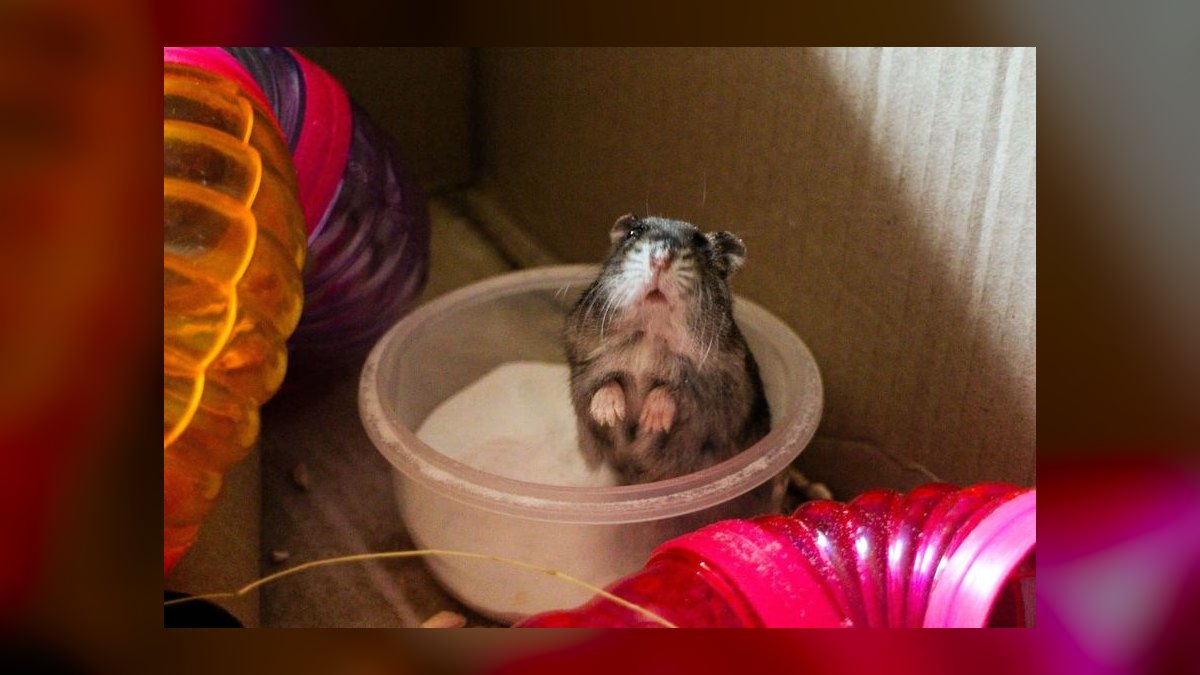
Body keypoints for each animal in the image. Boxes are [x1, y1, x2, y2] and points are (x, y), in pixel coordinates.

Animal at [564, 214, 771, 485]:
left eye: (699, 242)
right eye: (634, 232)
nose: (660, 259)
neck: (651, 334)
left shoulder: (713, 391)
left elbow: (669, 390)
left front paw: (651, 422)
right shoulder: (585, 364)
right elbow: (606, 383)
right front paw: (609, 415)